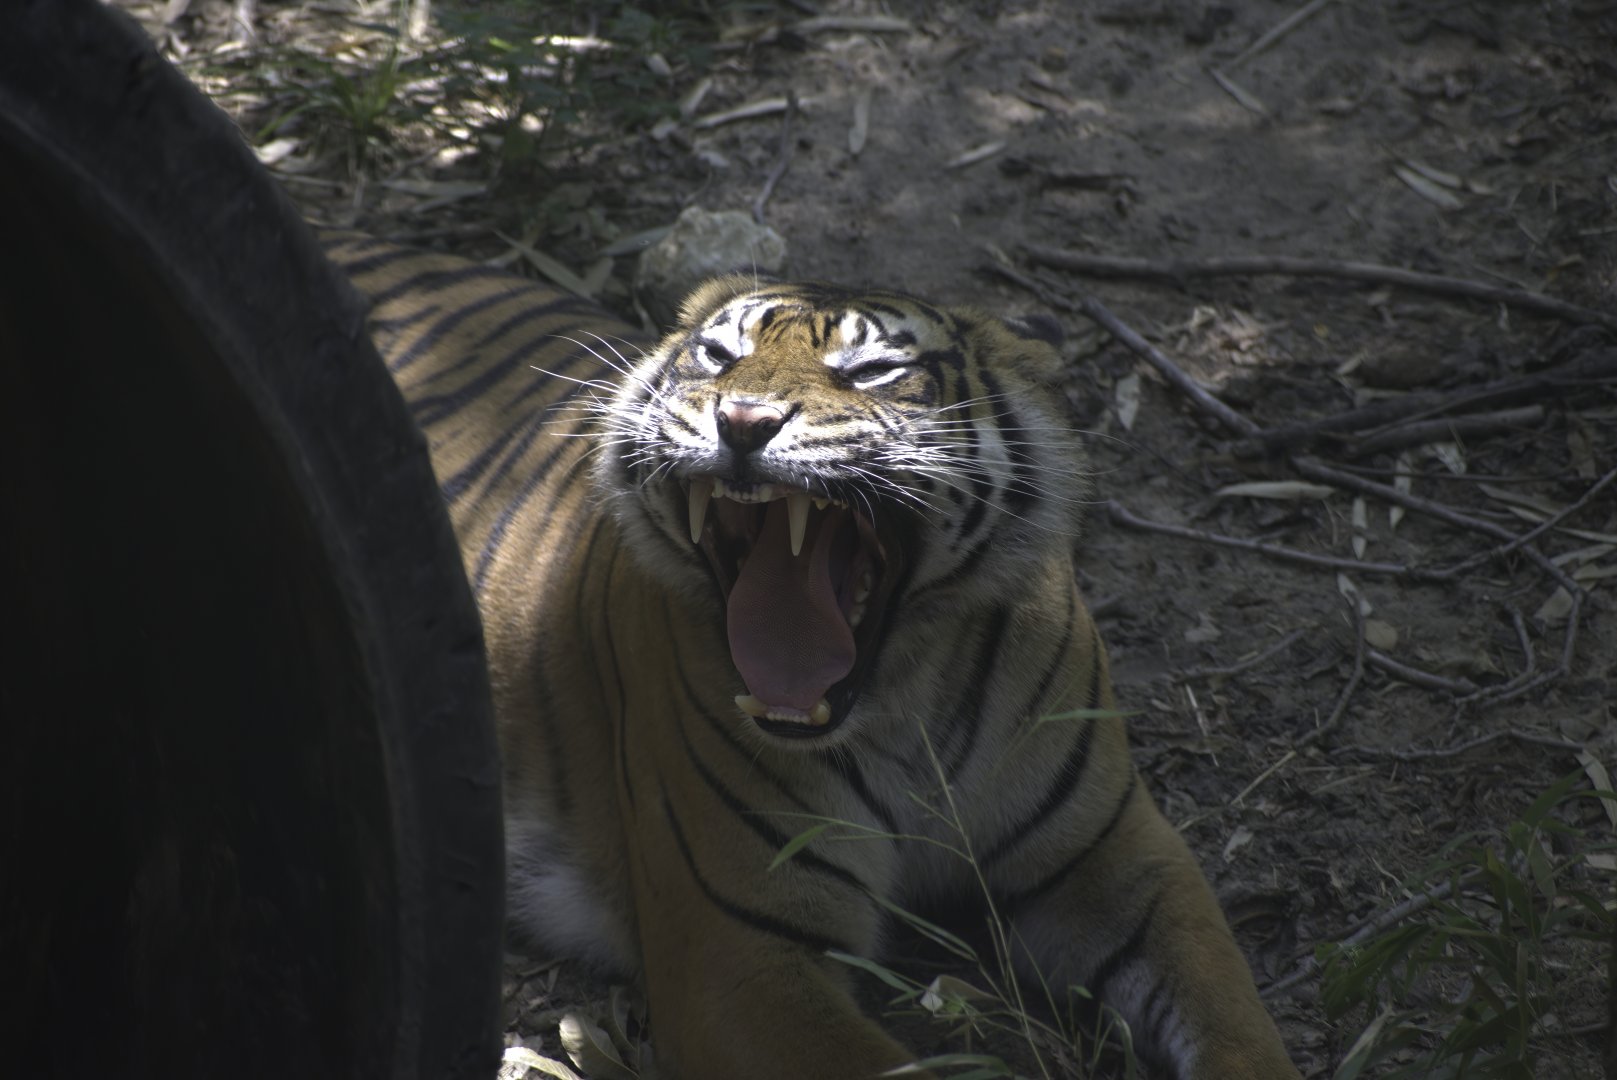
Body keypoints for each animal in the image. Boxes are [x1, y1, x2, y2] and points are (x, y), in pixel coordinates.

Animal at [323, 231, 1299, 1080]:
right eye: (717, 358)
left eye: (870, 371)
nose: (742, 420)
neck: (906, 698)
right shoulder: (743, 960)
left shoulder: (1121, 862)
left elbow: (1234, 1019)